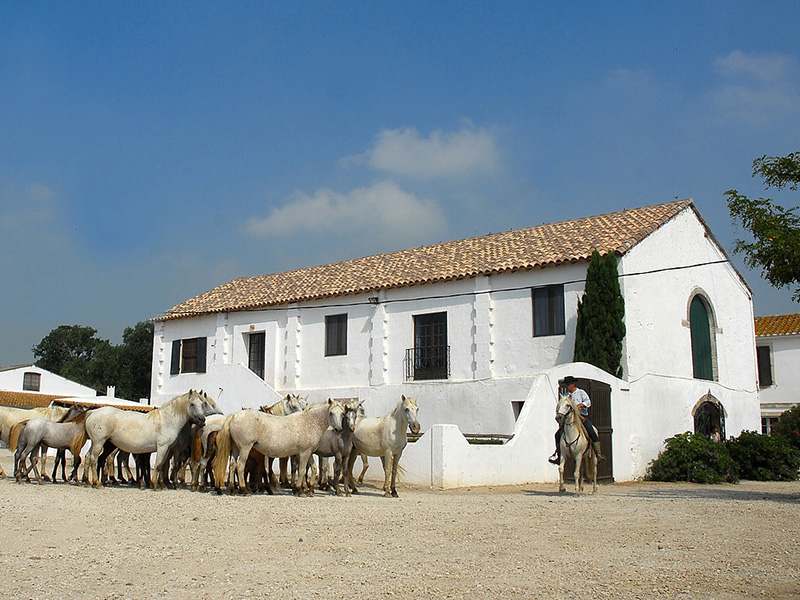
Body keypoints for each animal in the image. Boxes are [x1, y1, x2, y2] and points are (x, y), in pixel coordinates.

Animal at [84, 392, 220, 490]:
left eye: (202, 404)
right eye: (192, 404)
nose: (202, 420)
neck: (167, 420)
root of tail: (92, 412)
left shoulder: (167, 449)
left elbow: (163, 465)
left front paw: (162, 484)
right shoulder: (163, 447)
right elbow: (159, 465)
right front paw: (155, 485)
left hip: (96, 443)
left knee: (88, 457)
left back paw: (88, 482)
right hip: (99, 443)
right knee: (94, 459)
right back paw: (98, 483)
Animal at [214, 398, 346, 496]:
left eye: (342, 414)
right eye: (331, 413)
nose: (339, 430)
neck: (310, 422)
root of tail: (234, 415)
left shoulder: (308, 452)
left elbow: (312, 468)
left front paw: (310, 490)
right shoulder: (304, 453)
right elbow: (302, 470)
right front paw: (300, 490)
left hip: (236, 449)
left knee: (232, 465)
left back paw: (233, 489)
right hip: (245, 448)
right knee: (240, 466)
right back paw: (244, 490)